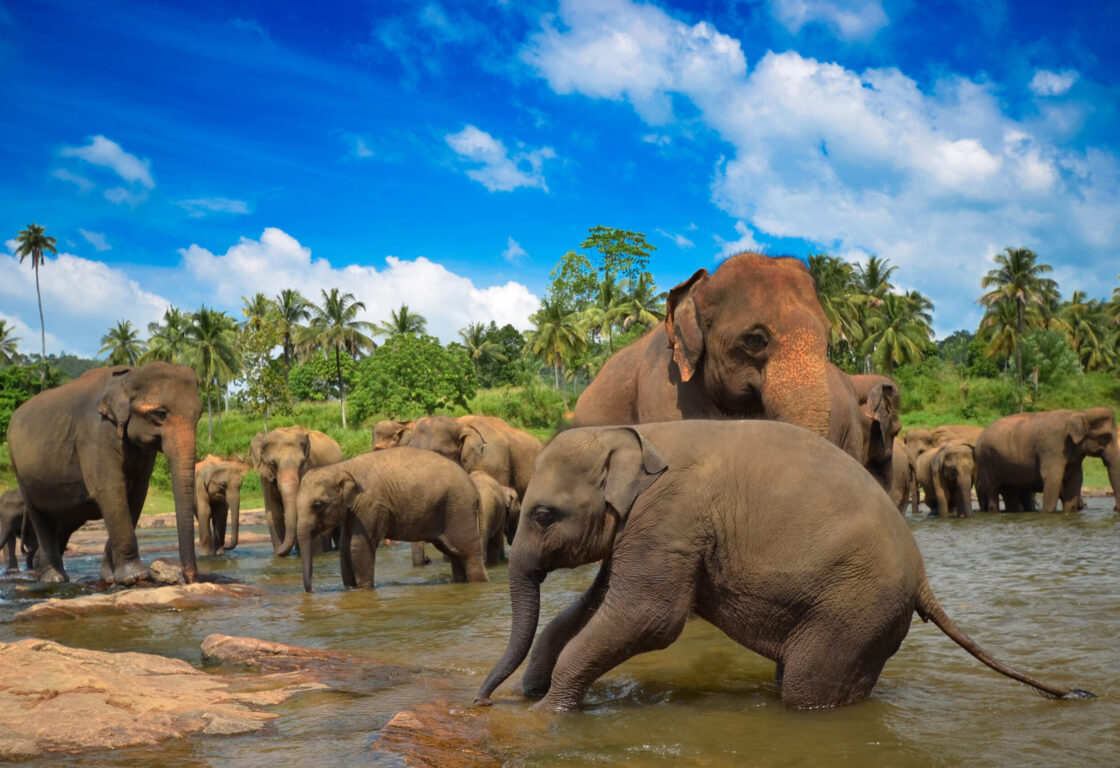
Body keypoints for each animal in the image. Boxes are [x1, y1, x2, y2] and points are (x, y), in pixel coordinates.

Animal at [7, 363, 201, 585]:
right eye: (160, 414)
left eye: (200, 415)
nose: (190, 579)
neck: (128, 377)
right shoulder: (95, 433)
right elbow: (110, 491)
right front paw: (134, 577)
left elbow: (136, 496)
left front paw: (109, 577)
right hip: (19, 470)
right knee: (40, 518)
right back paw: (54, 579)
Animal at [251, 425, 343, 555]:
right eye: (273, 463)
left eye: (302, 463)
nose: (279, 551)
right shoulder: (265, 479)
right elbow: (274, 513)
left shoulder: (310, 469)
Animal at [295, 447, 488, 591]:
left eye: (317, 505)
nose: (312, 590)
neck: (342, 467)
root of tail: (474, 487)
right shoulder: (354, 510)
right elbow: (344, 547)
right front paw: (350, 588)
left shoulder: (370, 504)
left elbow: (359, 546)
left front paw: (364, 590)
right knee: (453, 552)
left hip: (459, 509)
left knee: (468, 552)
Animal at [474, 421, 1091, 712]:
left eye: (544, 515)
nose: (480, 700)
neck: (637, 433)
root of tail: (923, 581)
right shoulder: (644, 529)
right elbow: (598, 605)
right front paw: (533, 692)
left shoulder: (670, 518)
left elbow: (649, 617)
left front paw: (548, 712)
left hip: (855, 607)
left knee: (806, 689)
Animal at [975, 407, 1120, 514]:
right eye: (1106, 437)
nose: (1115, 509)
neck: (1079, 413)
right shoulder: (1052, 448)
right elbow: (1052, 478)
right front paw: (1048, 513)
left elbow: (1076, 479)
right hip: (984, 460)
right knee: (993, 490)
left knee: (1009, 491)